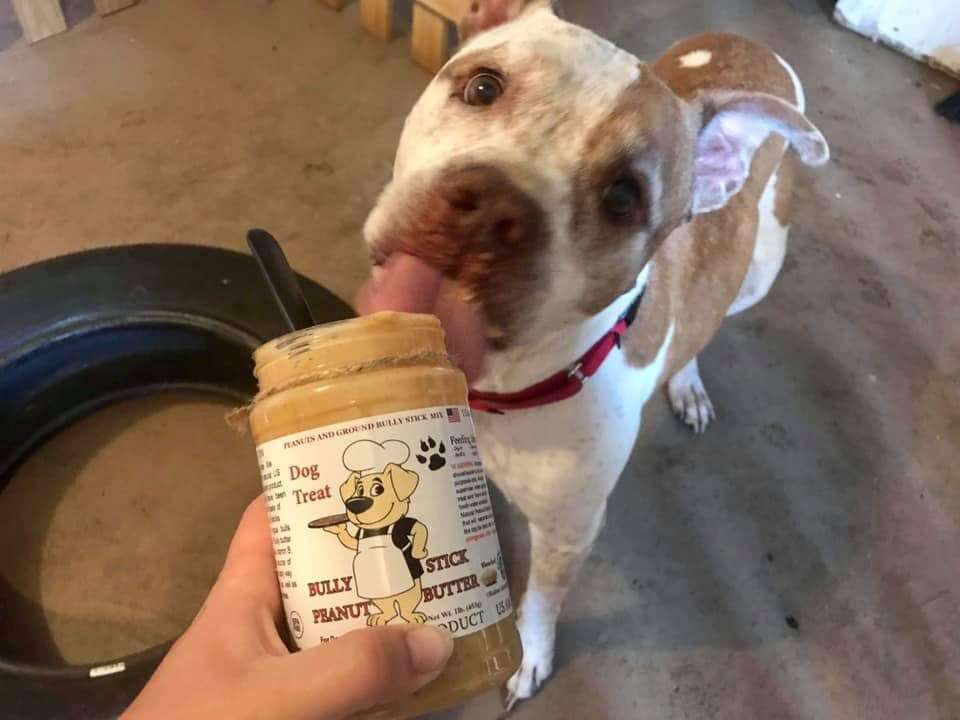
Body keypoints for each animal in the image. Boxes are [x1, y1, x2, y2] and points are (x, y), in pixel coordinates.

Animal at [360, 0, 824, 708]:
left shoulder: (569, 531)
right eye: (483, 87)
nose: (491, 209)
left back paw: (686, 380)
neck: (495, 386)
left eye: (623, 198)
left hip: (760, 268)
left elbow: (538, 604)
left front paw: (528, 657)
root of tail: (752, 46)